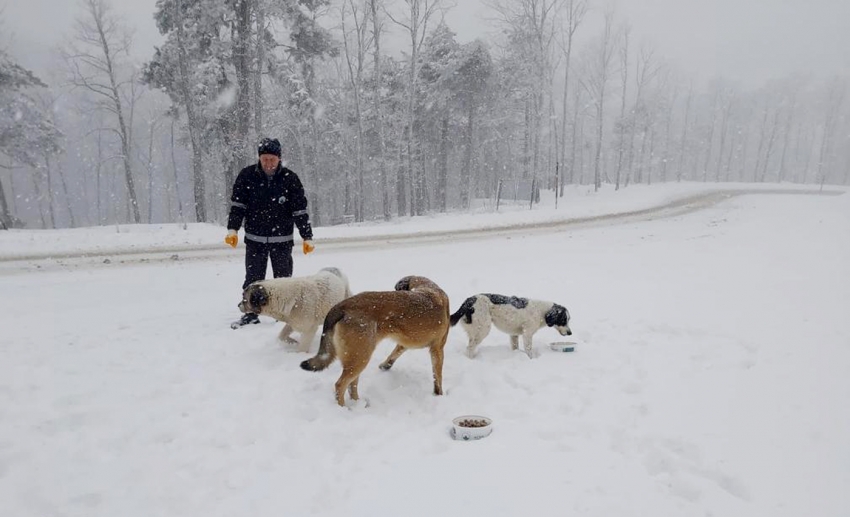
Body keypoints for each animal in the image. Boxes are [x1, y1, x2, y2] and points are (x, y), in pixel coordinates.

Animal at [302, 274, 454, 408]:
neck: (429, 288)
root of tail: (342, 305)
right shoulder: (438, 349)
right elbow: (437, 378)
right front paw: (439, 395)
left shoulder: (403, 344)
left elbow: (394, 354)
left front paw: (385, 366)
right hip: (360, 356)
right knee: (340, 385)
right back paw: (343, 409)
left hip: (358, 356)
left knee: (352, 384)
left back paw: (358, 404)